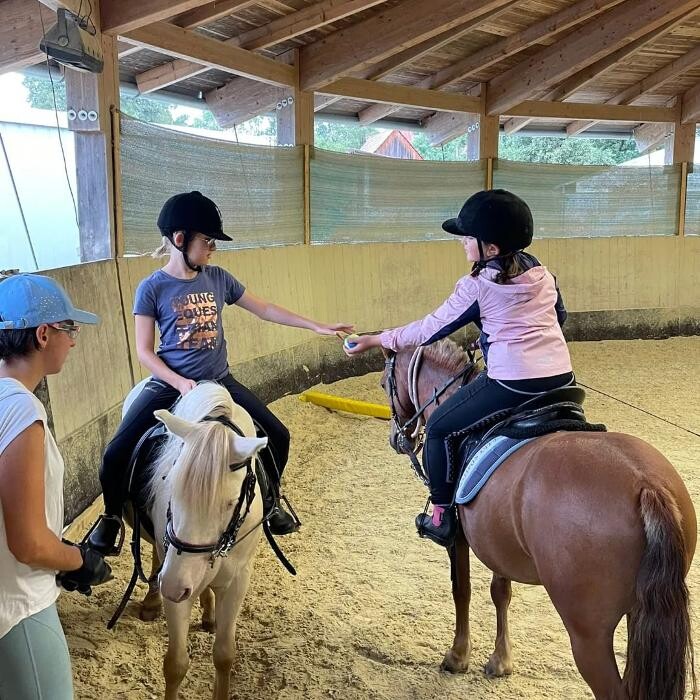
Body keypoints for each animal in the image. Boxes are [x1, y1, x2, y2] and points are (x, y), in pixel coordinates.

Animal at [126, 382, 268, 700]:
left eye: (230, 503)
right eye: (169, 484)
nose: (172, 587)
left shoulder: (237, 580)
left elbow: (224, 654)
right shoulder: (177, 582)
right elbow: (175, 664)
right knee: (156, 553)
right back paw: (153, 601)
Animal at [386, 340, 696, 700]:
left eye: (384, 384)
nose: (397, 438)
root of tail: (647, 484)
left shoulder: (459, 538)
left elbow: (461, 589)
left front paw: (458, 656)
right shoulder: (496, 539)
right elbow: (500, 592)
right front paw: (500, 661)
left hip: (589, 635)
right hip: (641, 612)